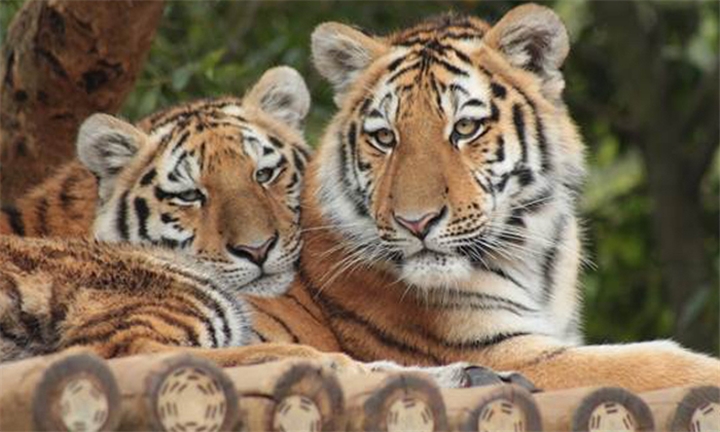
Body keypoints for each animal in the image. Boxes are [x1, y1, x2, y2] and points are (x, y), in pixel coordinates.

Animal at [243, 2, 720, 392]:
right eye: (384, 138)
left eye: (465, 128)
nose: (415, 223)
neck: (537, 260)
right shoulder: (505, 349)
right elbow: (658, 362)